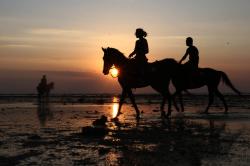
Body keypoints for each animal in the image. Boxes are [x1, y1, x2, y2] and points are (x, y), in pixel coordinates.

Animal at [101, 47, 240, 118]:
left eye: (105, 58)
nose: (104, 72)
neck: (124, 66)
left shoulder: (126, 86)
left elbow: (124, 100)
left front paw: (117, 115)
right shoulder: (127, 87)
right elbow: (129, 99)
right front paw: (132, 113)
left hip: (159, 85)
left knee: (168, 96)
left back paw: (168, 112)